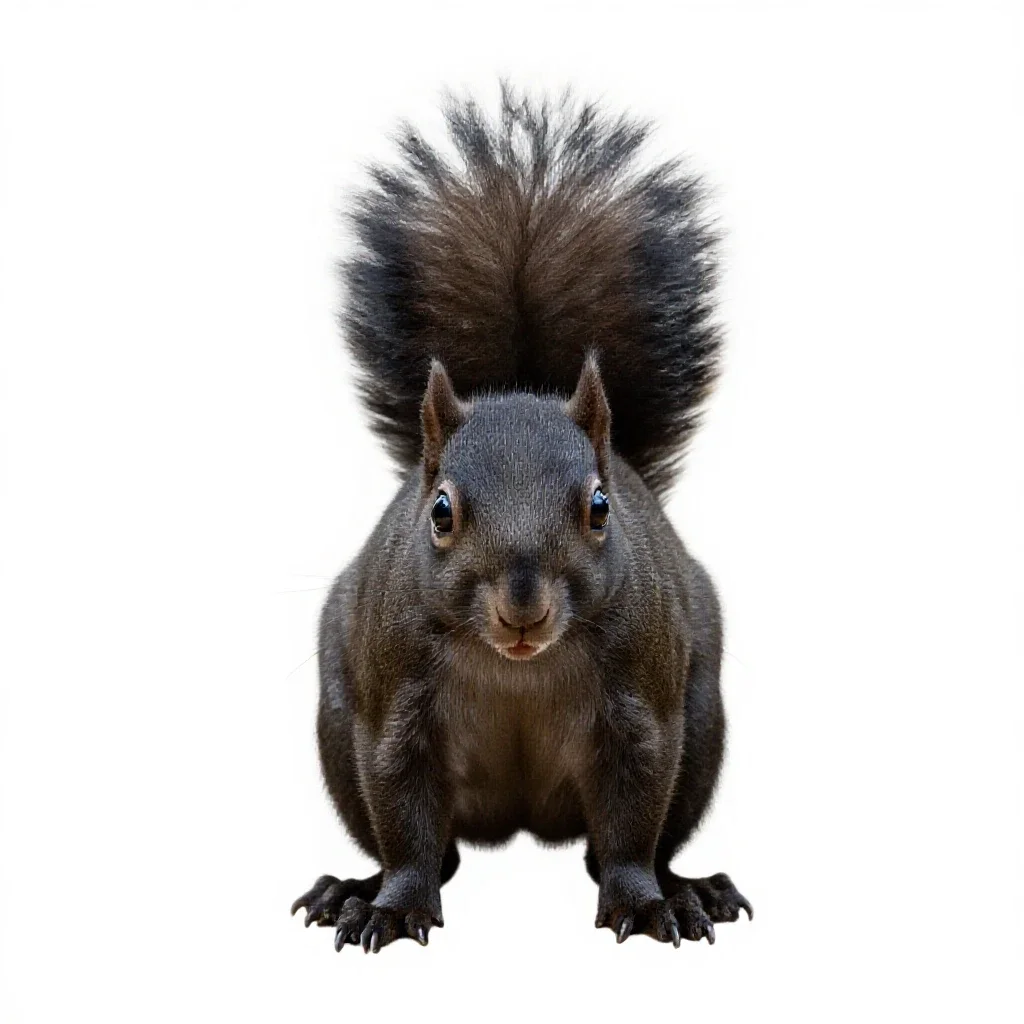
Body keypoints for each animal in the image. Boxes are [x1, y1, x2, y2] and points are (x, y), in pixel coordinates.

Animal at [291, 86, 752, 953]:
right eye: (440, 512)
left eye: (600, 508)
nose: (522, 606)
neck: (519, 670)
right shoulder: (394, 700)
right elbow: (405, 818)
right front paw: (392, 905)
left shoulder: (642, 702)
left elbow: (632, 819)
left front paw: (645, 902)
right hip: (337, 728)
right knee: (439, 851)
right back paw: (351, 889)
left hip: (703, 725)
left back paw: (685, 886)